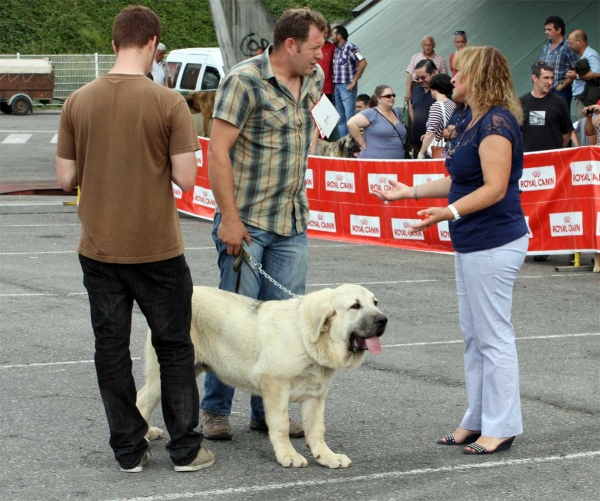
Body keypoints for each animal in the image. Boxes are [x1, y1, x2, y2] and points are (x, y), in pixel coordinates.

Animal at [136, 286, 386, 468]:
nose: (383, 320)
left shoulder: (315, 396)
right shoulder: (275, 386)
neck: (306, 337)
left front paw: (326, 457)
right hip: (166, 370)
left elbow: (316, 430)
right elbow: (281, 426)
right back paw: (144, 435)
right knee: (143, 398)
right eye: (355, 306)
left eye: (375, 303)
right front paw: (288, 455)